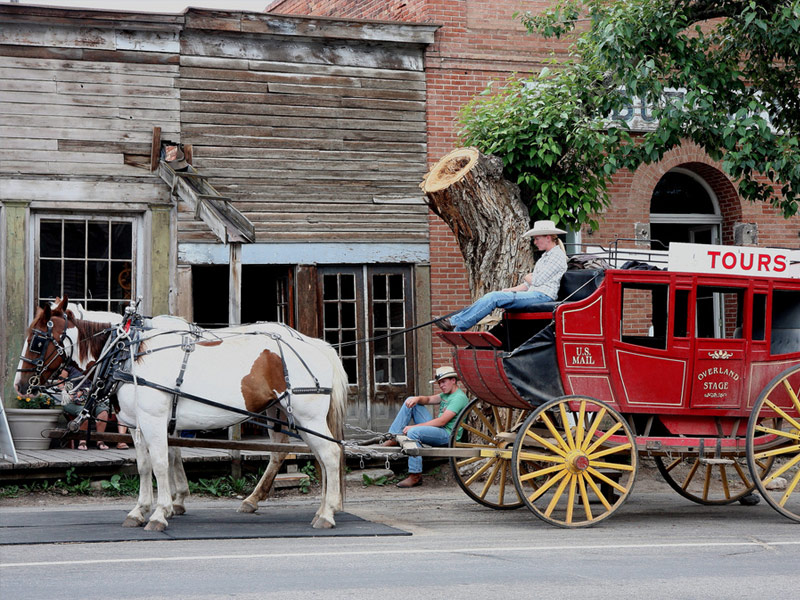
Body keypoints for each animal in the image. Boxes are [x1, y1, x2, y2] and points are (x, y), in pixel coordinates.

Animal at [15, 296, 346, 528]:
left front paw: (160, 513)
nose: (21, 384)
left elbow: (162, 463)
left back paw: (326, 514)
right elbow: (145, 466)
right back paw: (306, 506)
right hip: (285, 415)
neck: (127, 352)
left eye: (37, 340)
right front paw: (140, 510)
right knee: (304, 455)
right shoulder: (138, 426)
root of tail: (316, 344)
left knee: (330, 454)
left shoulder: (154, 420)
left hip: (308, 416)